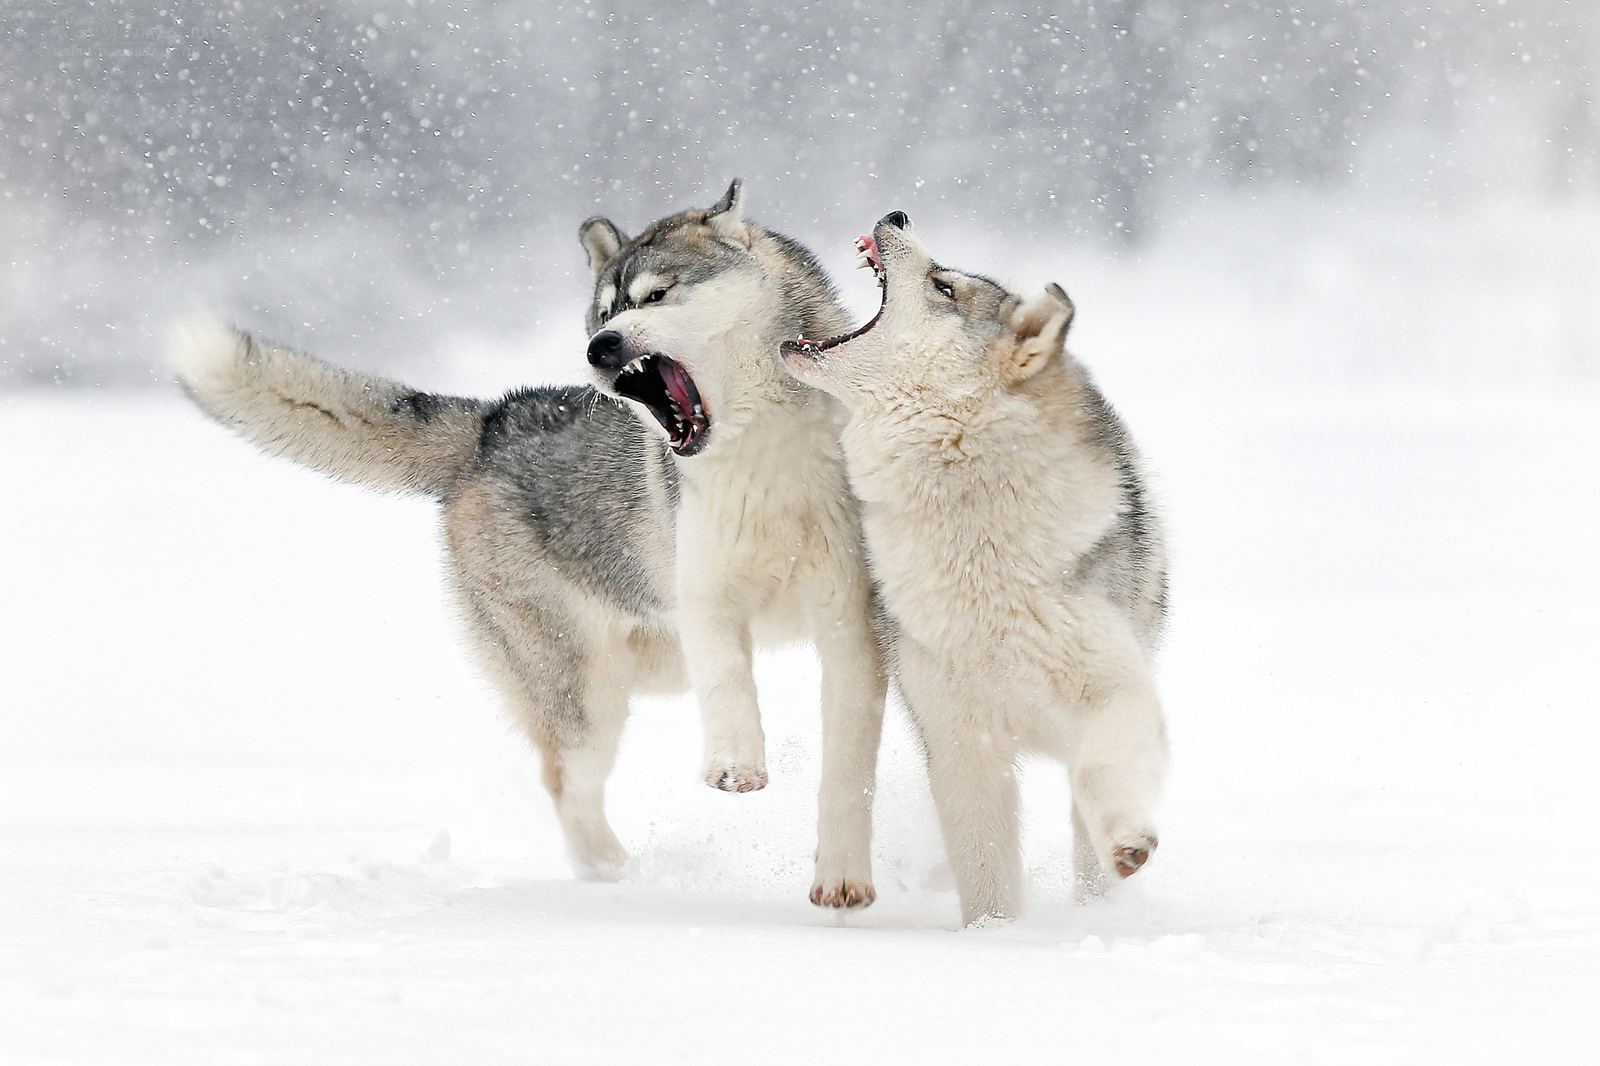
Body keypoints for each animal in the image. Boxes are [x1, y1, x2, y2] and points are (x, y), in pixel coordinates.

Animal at [181, 180, 896, 902]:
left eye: (657, 295)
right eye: (604, 312)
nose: (601, 347)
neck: (765, 455)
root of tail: (488, 423)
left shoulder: (851, 619)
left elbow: (848, 762)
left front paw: (842, 876)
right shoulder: (706, 594)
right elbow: (726, 679)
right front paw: (735, 765)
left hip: (645, 665)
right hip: (585, 688)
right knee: (567, 783)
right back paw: (616, 875)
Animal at [784, 209, 1171, 921]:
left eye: (944, 286)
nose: (896, 215)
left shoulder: (1117, 691)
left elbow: (1103, 767)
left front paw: (1129, 843)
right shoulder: (962, 745)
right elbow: (985, 872)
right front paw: (993, 937)